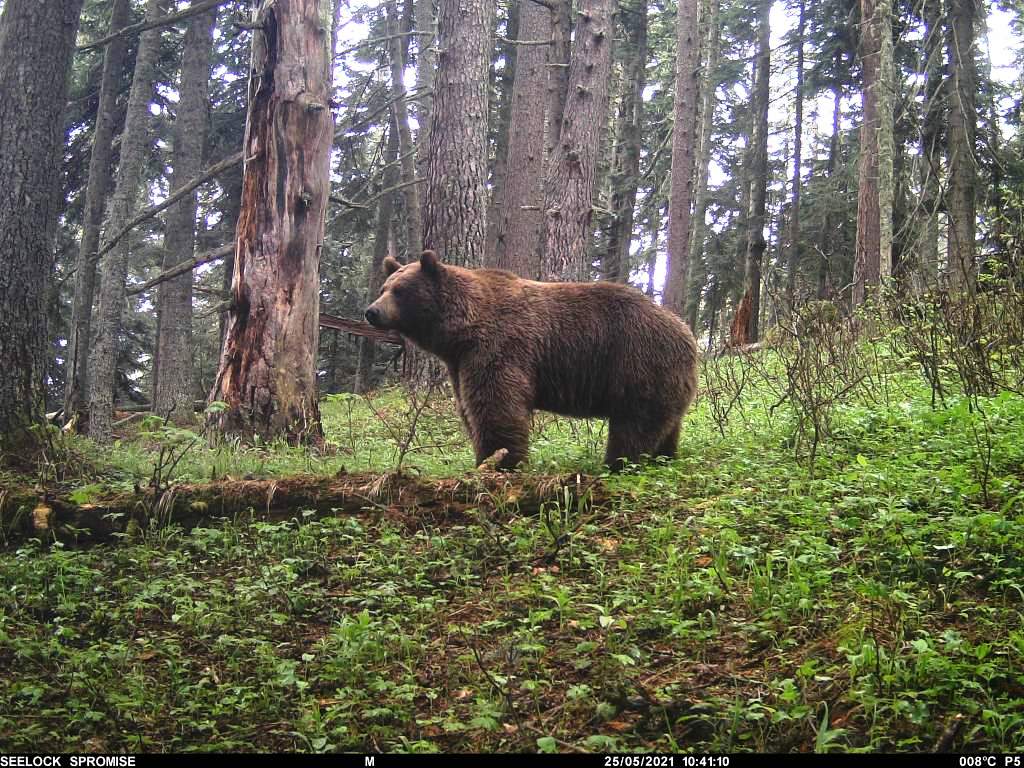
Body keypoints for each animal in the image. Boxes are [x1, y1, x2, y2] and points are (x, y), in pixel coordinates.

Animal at [364, 250, 700, 468]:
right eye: (384, 287)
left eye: (401, 291)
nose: (372, 311)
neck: (460, 332)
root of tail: (687, 333)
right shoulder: (460, 363)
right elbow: (469, 408)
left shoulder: (500, 346)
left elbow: (497, 406)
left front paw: (501, 461)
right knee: (665, 424)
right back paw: (664, 458)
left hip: (637, 360)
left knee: (635, 424)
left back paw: (618, 463)